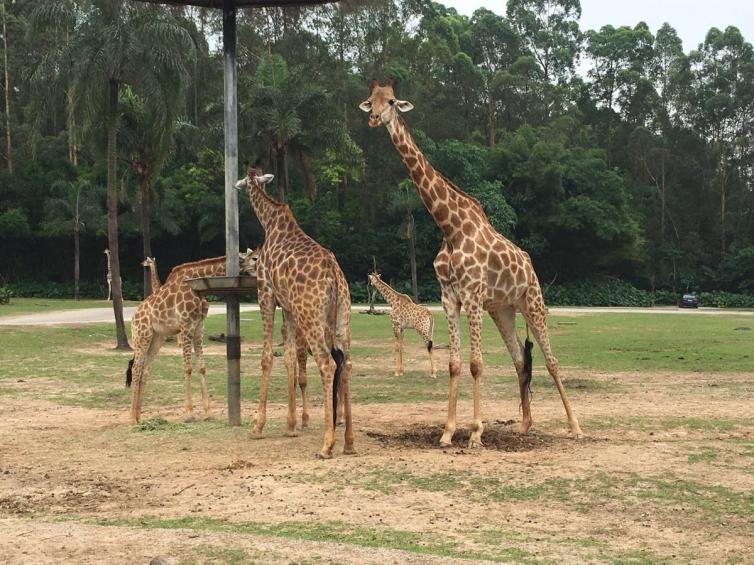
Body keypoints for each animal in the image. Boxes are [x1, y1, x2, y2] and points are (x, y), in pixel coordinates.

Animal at [123, 254, 241, 424]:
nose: (142, 263)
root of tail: (133, 318)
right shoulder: (186, 326)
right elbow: (187, 368)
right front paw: (190, 413)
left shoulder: (198, 327)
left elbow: (201, 367)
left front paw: (208, 413)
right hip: (142, 336)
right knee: (136, 368)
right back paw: (132, 418)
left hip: (157, 338)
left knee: (144, 369)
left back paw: (139, 417)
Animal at [235, 164, 352, 458]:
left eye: (243, 181)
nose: (235, 186)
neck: (271, 222)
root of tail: (335, 277)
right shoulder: (286, 306)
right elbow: (288, 357)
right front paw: (290, 426)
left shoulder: (265, 293)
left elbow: (267, 357)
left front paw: (258, 426)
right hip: (341, 319)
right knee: (346, 364)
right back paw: (349, 442)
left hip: (311, 317)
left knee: (328, 363)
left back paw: (327, 444)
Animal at [362, 80, 584, 450]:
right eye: (371, 101)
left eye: (392, 101)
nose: (375, 119)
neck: (449, 228)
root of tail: (530, 266)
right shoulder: (449, 298)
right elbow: (454, 364)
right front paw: (448, 432)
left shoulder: (473, 296)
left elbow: (476, 364)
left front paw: (476, 433)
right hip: (503, 309)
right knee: (520, 359)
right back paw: (525, 425)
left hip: (532, 302)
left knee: (551, 361)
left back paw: (576, 426)